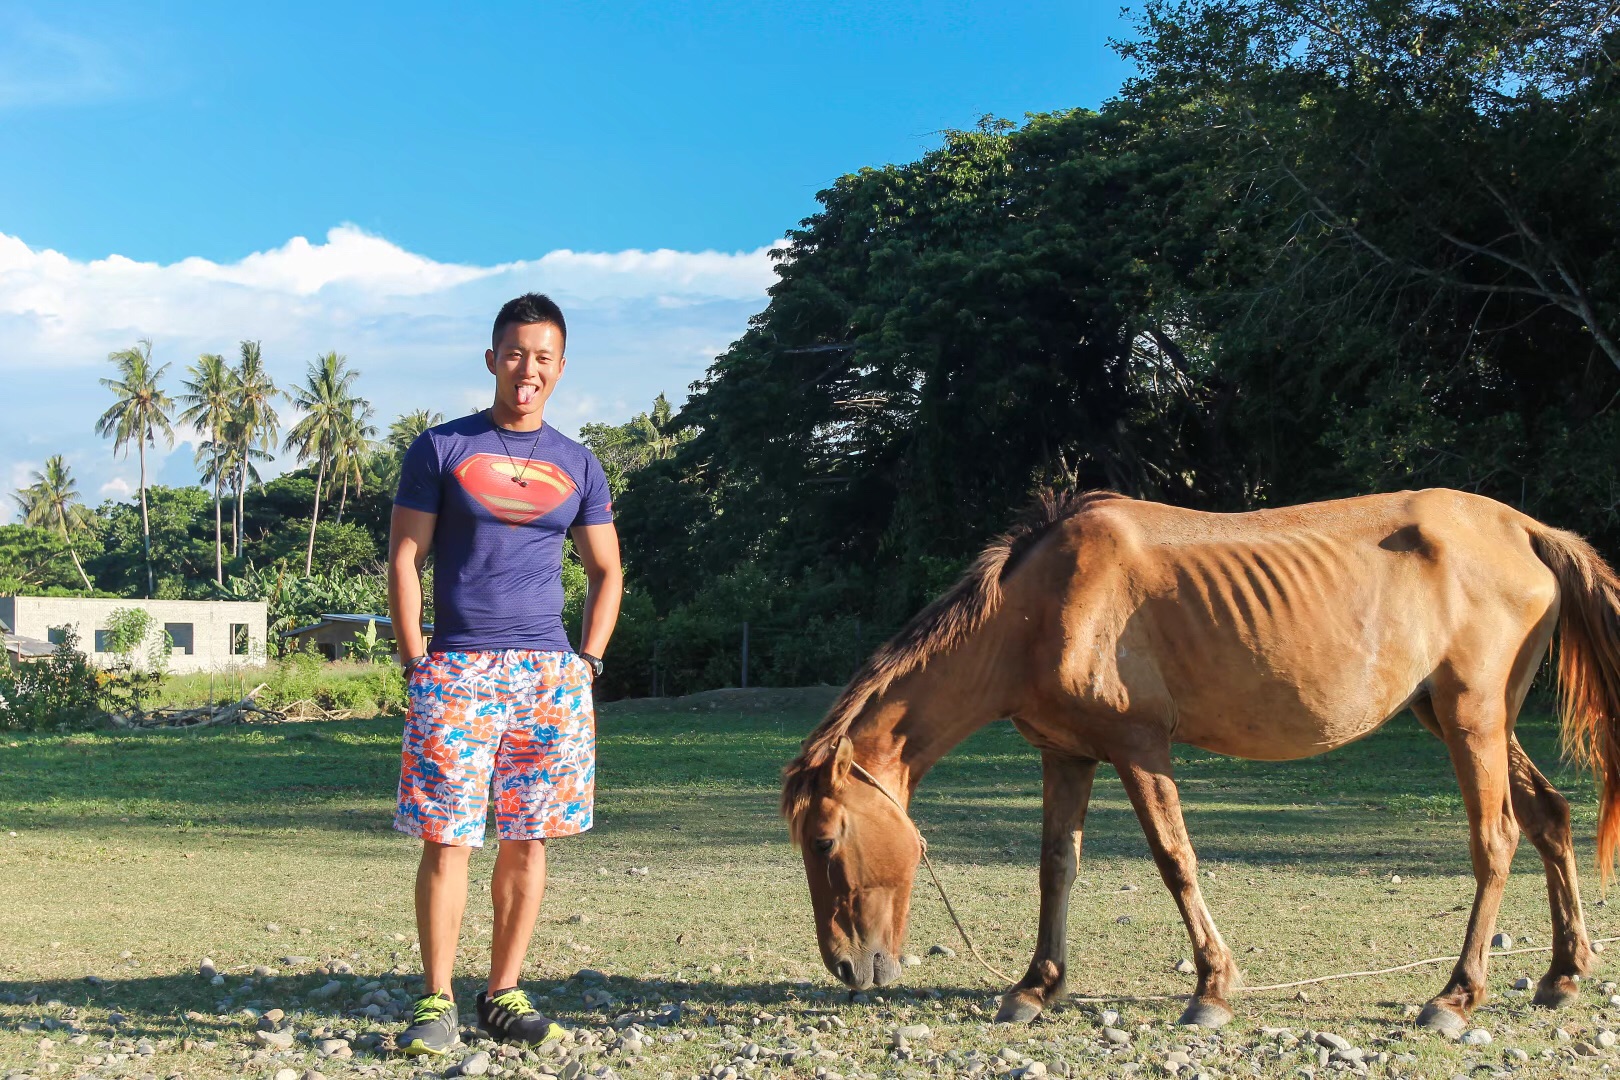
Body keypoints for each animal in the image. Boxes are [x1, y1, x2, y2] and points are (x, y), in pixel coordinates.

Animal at [784, 488, 1620, 1029]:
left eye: (825, 842)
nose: (848, 968)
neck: (1044, 605)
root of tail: (1526, 528)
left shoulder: (1139, 746)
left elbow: (1174, 860)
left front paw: (1212, 989)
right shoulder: (1068, 756)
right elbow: (1057, 867)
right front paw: (1035, 987)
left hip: (1471, 719)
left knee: (1496, 840)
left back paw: (1456, 996)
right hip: (1466, 720)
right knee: (1549, 819)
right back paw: (1562, 976)